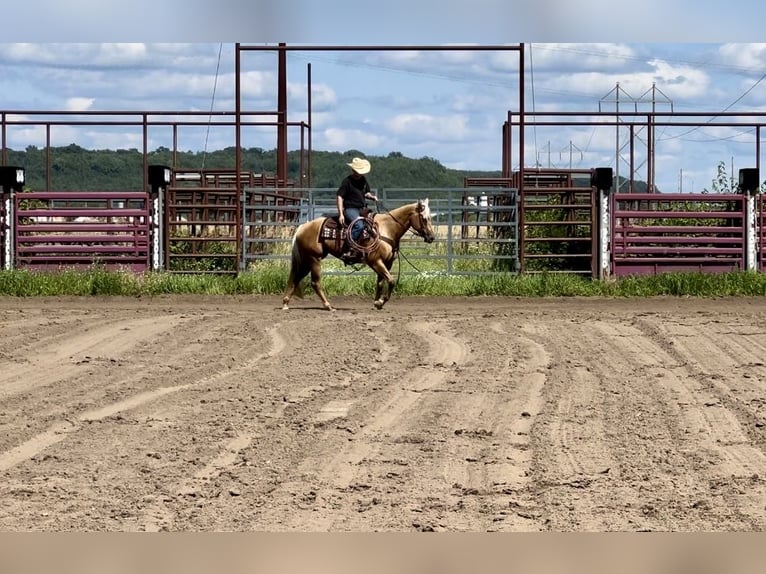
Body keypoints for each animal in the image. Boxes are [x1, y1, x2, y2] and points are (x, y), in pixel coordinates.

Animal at [284, 200, 438, 312]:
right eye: (424, 218)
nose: (431, 237)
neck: (387, 229)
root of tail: (302, 227)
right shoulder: (375, 261)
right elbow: (391, 280)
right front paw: (380, 302)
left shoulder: (387, 263)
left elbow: (381, 283)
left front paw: (377, 303)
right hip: (314, 259)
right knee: (315, 282)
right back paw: (328, 306)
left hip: (306, 260)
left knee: (296, 278)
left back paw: (286, 303)